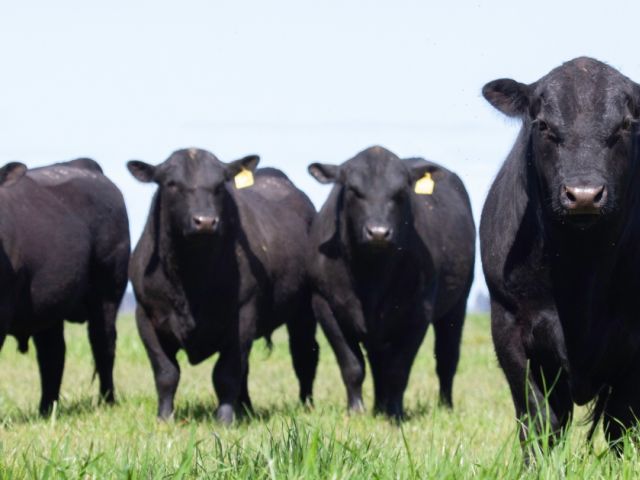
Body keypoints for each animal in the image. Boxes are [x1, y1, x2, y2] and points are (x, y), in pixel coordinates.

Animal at [0, 158, 130, 414]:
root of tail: (84, 165)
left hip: (108, 289)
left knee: (103, 344)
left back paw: (107, 401)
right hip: (49, 303)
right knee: (53, 354)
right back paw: (46, 409)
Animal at [127, 148, 318, 424]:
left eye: (219, 185)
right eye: (172, 183)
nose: (205, 221)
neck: (191, 277)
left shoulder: (243, 316)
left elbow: (226, 374)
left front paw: (225, 419)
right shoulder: (145, 316)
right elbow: (166, 372)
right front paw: (164, 418)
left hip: (304, 310)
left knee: (305, 355)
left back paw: (305, 405)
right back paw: (246, 407)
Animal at [307, 146, 475, 419]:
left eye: (400, 192)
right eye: (353, 189)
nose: (378, 232)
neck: (370, 276)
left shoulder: (419, 312)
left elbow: (399, 369)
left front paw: (395, 413)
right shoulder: (324, 304)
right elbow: (352, 365)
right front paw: (356, 410)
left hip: (458, 303)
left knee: (447, 358)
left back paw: (444, 406)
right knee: (378, 363)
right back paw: (378, 406)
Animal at [481, 57, 640, 449]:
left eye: (625, 125)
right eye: (543, 125)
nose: (584, 195)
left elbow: (621, 424)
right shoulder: (509, 327)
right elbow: (539, 419)